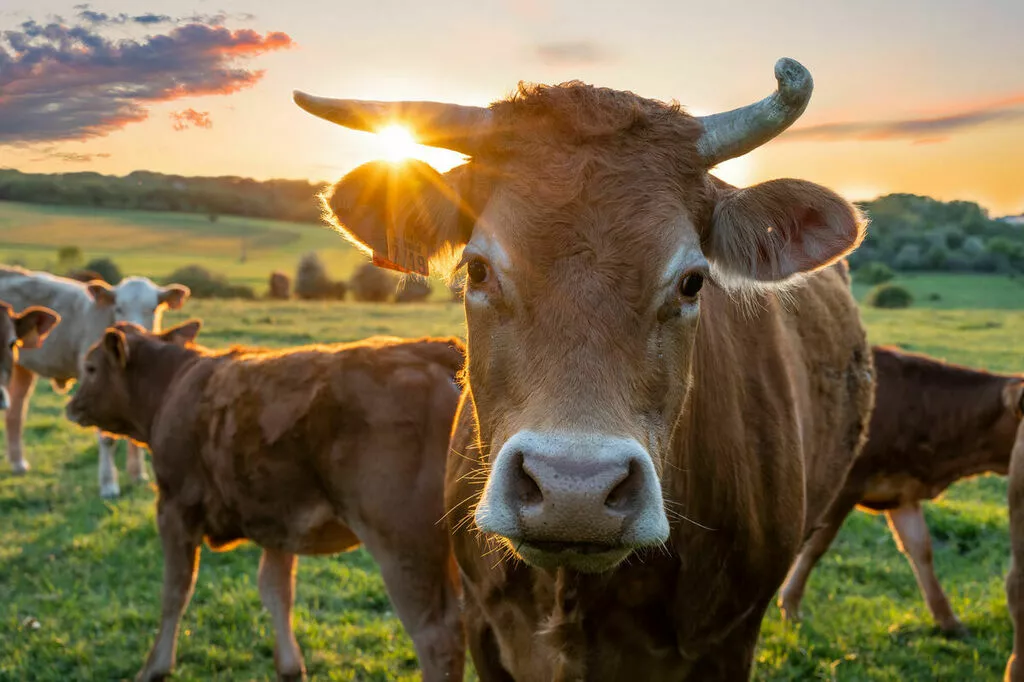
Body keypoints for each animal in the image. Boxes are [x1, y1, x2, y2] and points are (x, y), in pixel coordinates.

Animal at [0, 266, 190, 493]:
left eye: (153, 309)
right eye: (118, 308)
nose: (133, 331)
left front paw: (138, 475)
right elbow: (107, 437)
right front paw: (109, 485)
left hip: (21, 368)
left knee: (15, 413)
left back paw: (18, 463)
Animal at [70, 323, 468, 679]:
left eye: (90, 368)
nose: (71, 404)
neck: (173, 385)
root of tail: (431, 349)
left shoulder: (174, 509)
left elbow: (175, 591)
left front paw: (154, 667)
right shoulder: (278, 519)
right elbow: (277, 591)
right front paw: (290, 667)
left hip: (404, 546)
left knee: (438, 636)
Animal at [778, 348, 1019, 634]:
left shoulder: (902, 492)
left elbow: (921, 550)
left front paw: (948, 620)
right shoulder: (846, 487)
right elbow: (816, 546)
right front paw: (790, 606)